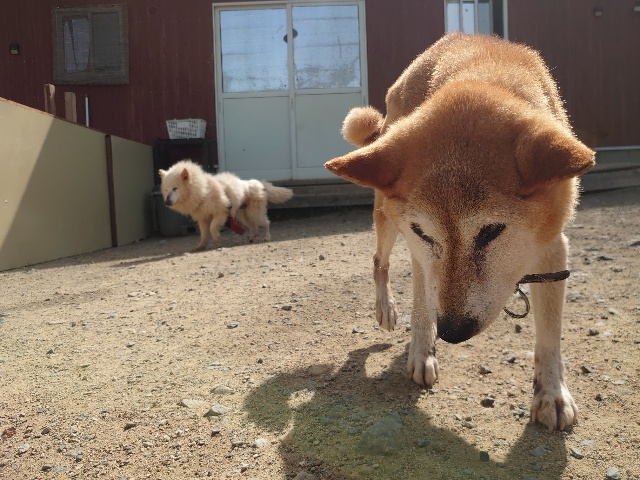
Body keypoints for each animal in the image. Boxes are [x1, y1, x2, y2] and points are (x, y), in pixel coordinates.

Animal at [158, 160, 293, 250]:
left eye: (175, 188)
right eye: (166, 190)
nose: (166, 202)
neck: (202, 191)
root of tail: (259, 183)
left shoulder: (220, 213)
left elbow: (212, 228)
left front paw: (219, 239)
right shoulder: (203, 219)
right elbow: (204, 235)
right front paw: (201, 246)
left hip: (255, 213)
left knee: (266, 223)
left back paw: (267, 238)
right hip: (243, 216)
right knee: (254, 228)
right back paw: (251, 238)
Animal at [325, 32, 595, 432]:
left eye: (492, 231)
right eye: (423, 231)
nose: (452, 332)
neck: (484, 73)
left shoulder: (551, 249)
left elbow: (549, 336)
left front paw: (551, 396)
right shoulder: (420, 246)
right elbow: (423, 301)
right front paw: (423, 348)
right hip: (388, 213)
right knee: (381, 262)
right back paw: (392, 315)